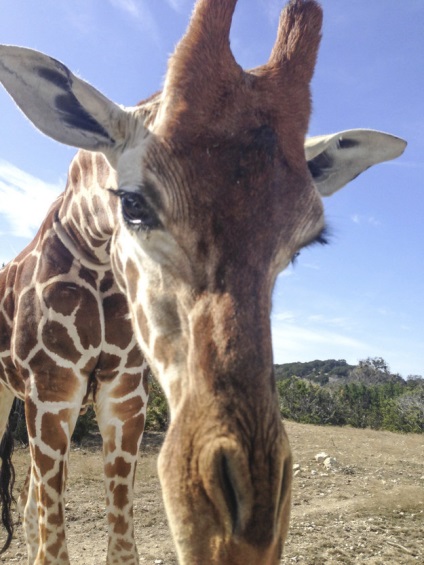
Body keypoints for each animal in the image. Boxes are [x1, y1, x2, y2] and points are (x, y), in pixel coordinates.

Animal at [0, 1, 406, 564]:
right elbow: (53, 546)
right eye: (133, 202)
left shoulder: (126, 394)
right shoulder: (51, 387)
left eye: (304, 242)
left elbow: (118, 544)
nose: (237, 535)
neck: (94, 260)